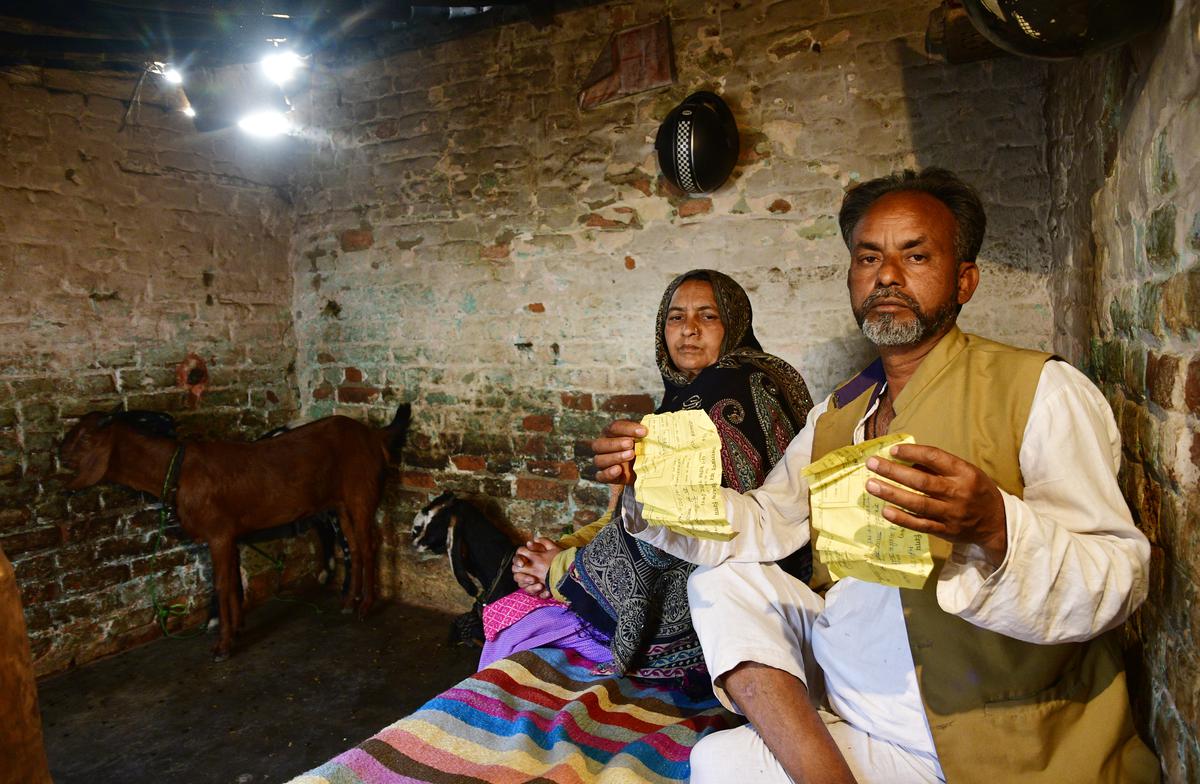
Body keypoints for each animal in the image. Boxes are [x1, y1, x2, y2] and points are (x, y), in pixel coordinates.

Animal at [60, 403, 412, 662]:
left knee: (369, 545)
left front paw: (223, 645)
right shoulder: (228, 535)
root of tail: (374, 435)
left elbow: (221, 583)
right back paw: (350, 600)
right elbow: (230, 581)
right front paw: (236, 628)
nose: (60, 455)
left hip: (361, 494)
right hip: (340, 503)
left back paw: (365, 606)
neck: (179, 470)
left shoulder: (217, 534)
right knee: (354, 544)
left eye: (84, 438)